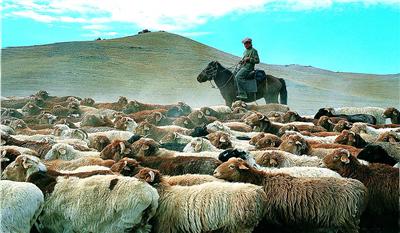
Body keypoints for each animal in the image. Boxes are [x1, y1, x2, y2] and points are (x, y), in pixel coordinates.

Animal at [214, 157, 368, 233]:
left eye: (232, 166)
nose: (215, 172)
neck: (262, 181)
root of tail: (361, 189)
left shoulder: (271, 218)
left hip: (348, 221)